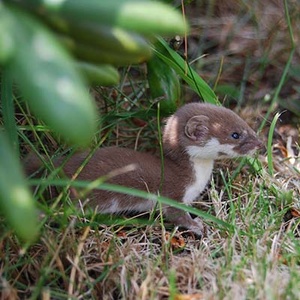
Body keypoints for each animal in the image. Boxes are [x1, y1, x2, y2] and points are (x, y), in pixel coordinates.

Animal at [25, 103, 262, 234]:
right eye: (235, 134)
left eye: (245, 123)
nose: (259, 143)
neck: (196, 178)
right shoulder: (172, 193)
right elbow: (176, 215)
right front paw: (198, 225)